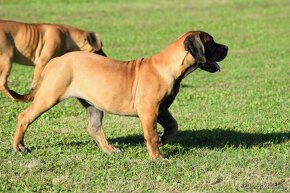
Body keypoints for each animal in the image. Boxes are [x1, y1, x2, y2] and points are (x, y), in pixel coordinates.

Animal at [12, 30, 228, 159]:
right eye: (211, 43)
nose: (227, 47)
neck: (170, 67)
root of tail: (56, 61)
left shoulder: (162, 109)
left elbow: (173, 126)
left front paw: (163, 139)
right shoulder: (149, 111)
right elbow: (150, 135)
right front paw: (157, 156)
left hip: (93, 105)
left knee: (94, 128)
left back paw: (109, 149)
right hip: (49, 96)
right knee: (24, 117)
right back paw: (19, 147)